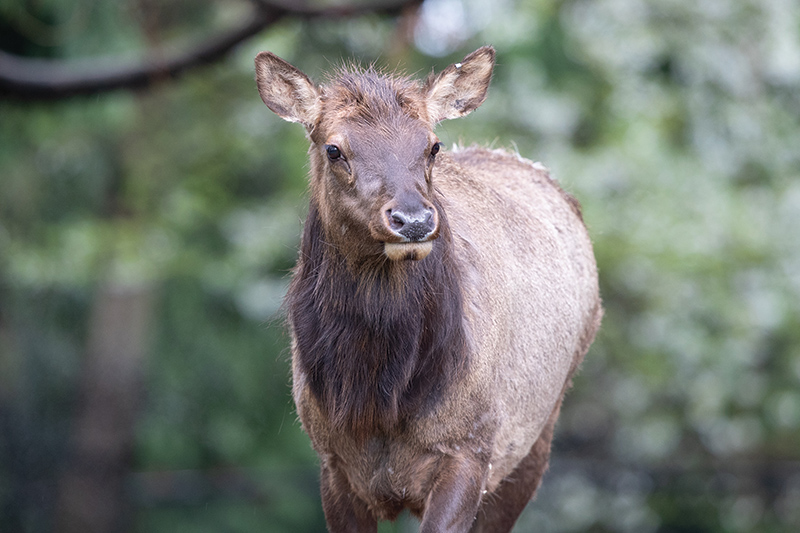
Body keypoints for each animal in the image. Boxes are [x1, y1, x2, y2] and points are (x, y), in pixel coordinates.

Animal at [254, 46, 602, 532]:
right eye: (334, 148)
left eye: (432, 145)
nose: (414, 220)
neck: (377, 397)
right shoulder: (331, 462)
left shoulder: (470, 449)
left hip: (535, 438)